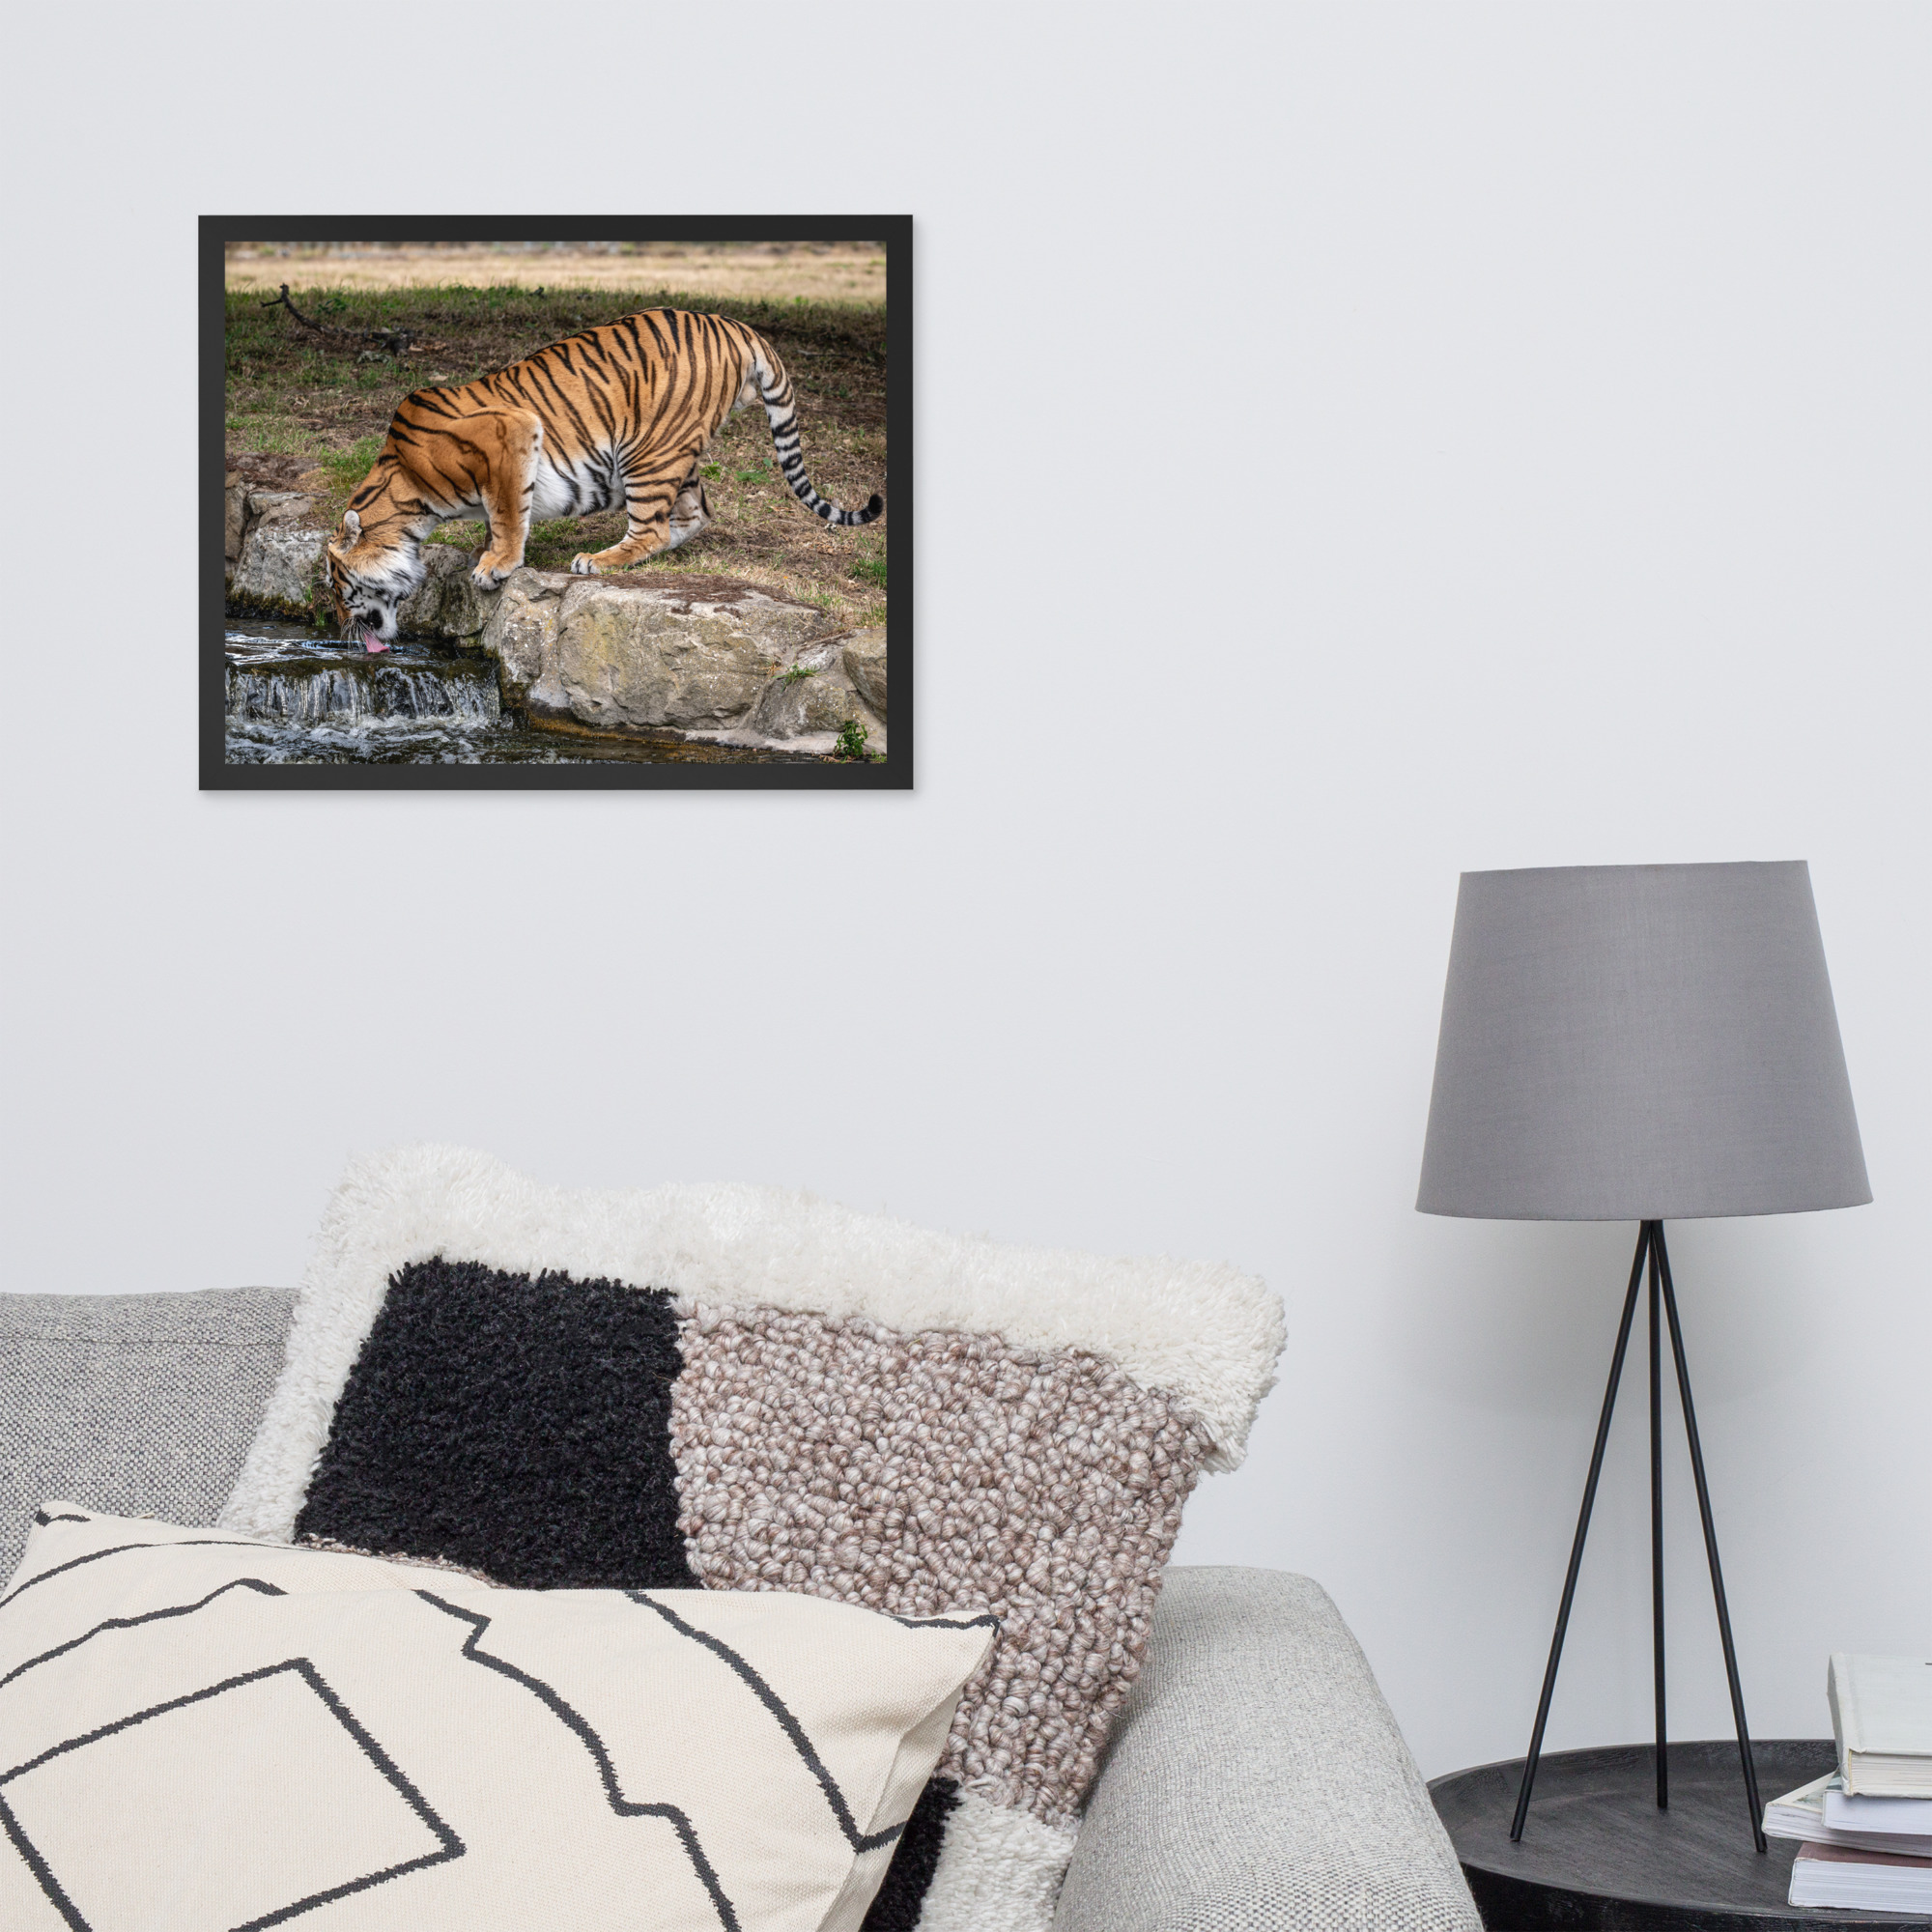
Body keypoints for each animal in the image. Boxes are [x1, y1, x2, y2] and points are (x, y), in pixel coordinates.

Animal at [325, 308, 883, 651]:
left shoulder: (511, 433)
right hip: (674, 453)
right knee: (694, 514)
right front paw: (486, 555)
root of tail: (734, 324)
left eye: (336, 585)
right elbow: (501, 515)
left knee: (652, 528)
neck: (406, 493)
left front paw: (495, 566)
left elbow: (507, 513)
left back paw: (597, 560)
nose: (338, 628)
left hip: (646, 450)